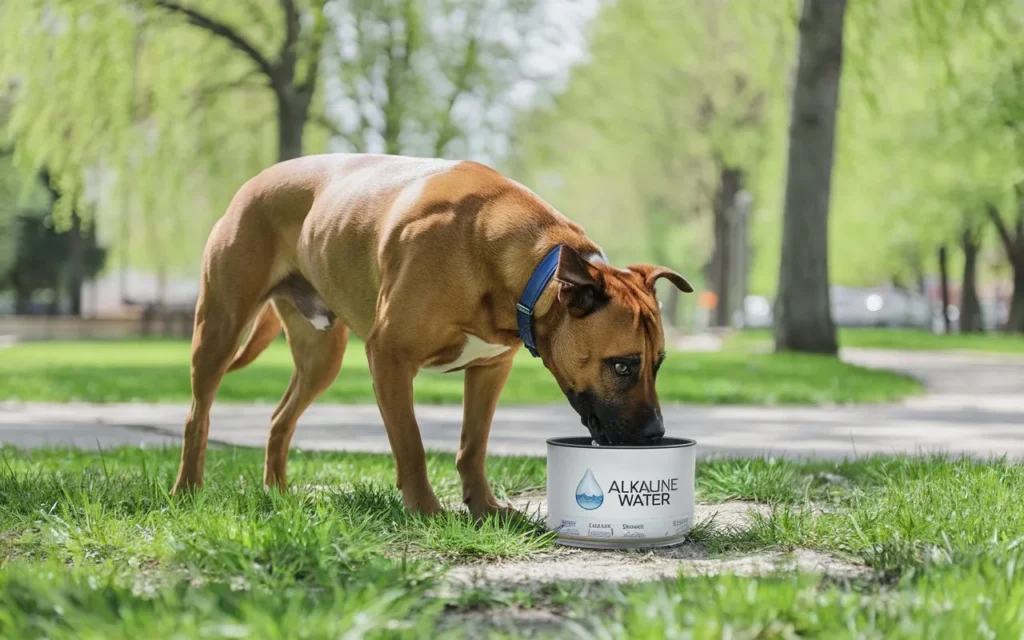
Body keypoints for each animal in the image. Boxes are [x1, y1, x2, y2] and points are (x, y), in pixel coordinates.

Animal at [172, 153, 692, 514]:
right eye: (622, 365)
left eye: (659, 364)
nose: (656, 434)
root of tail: (254, 182)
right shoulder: (389, 358)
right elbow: (412, 444)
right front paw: (424, 509)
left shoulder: (489, 370)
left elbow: (473, 446)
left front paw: (483, 506)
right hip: (219, 328)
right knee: (198, 416)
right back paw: (187, 490)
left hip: (321, 358)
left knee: (280, 419)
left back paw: (277, 492)